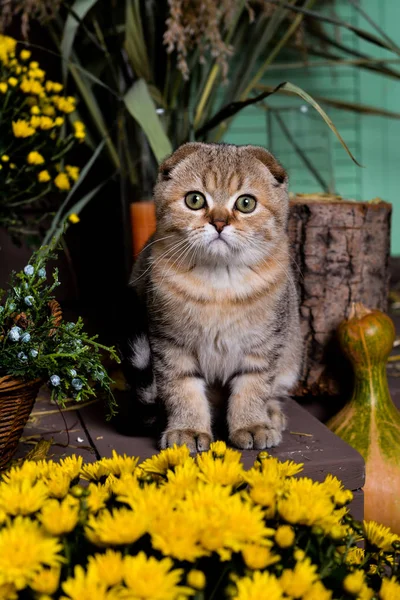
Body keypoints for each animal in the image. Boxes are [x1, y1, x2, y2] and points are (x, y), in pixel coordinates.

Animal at [120, 142, 302, 450]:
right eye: (194, 200)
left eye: (246, 203)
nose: (218, 222)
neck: (220, 284)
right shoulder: (170, 345)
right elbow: (182, 390)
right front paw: (188, 429)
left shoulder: (263, 345)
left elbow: (253, 387)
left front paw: (252, 424)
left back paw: (271, 414)